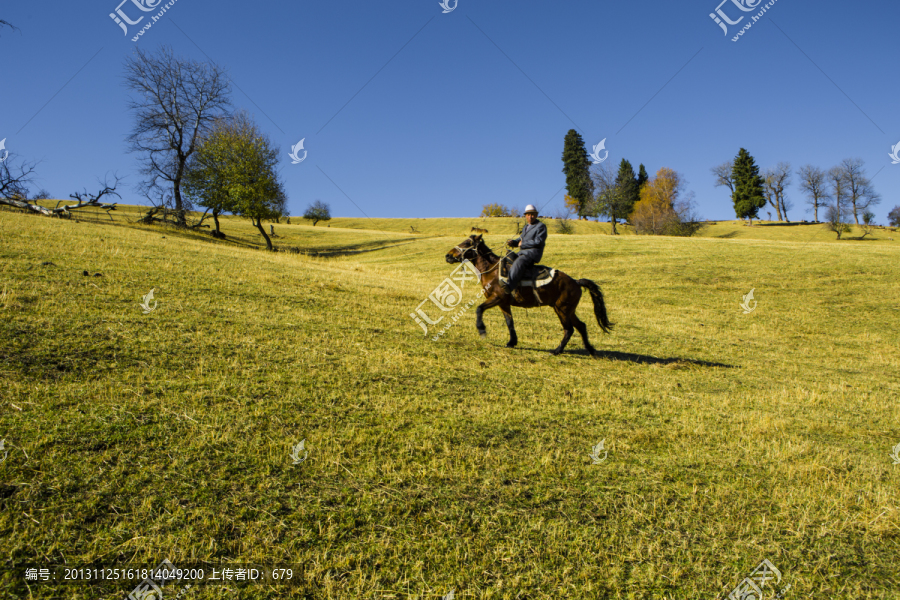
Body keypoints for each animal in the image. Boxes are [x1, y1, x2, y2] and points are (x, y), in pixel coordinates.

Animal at [442, 234, 612, 356]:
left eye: (467, 243)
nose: (448, 256)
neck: (493, 270)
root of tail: (576, 282)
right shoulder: (504, 303)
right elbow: (509, 322)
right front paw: (512, 342)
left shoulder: (497, 298)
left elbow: (479, 309)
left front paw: (482, 330)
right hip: (568, 310)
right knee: (581, 326)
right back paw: (590, 349)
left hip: (562, 309)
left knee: (569, 329)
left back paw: (557, 351)